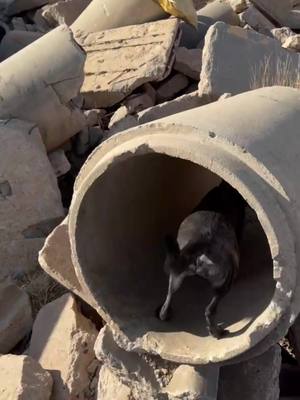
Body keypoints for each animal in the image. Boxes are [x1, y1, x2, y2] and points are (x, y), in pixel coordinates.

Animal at [157, 180, 246, 340]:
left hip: (176, 274)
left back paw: (165, 314)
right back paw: (217, 332)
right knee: (210, 311)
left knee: (167, 299)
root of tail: (202, 239)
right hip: (223, 285)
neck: (225, 191)